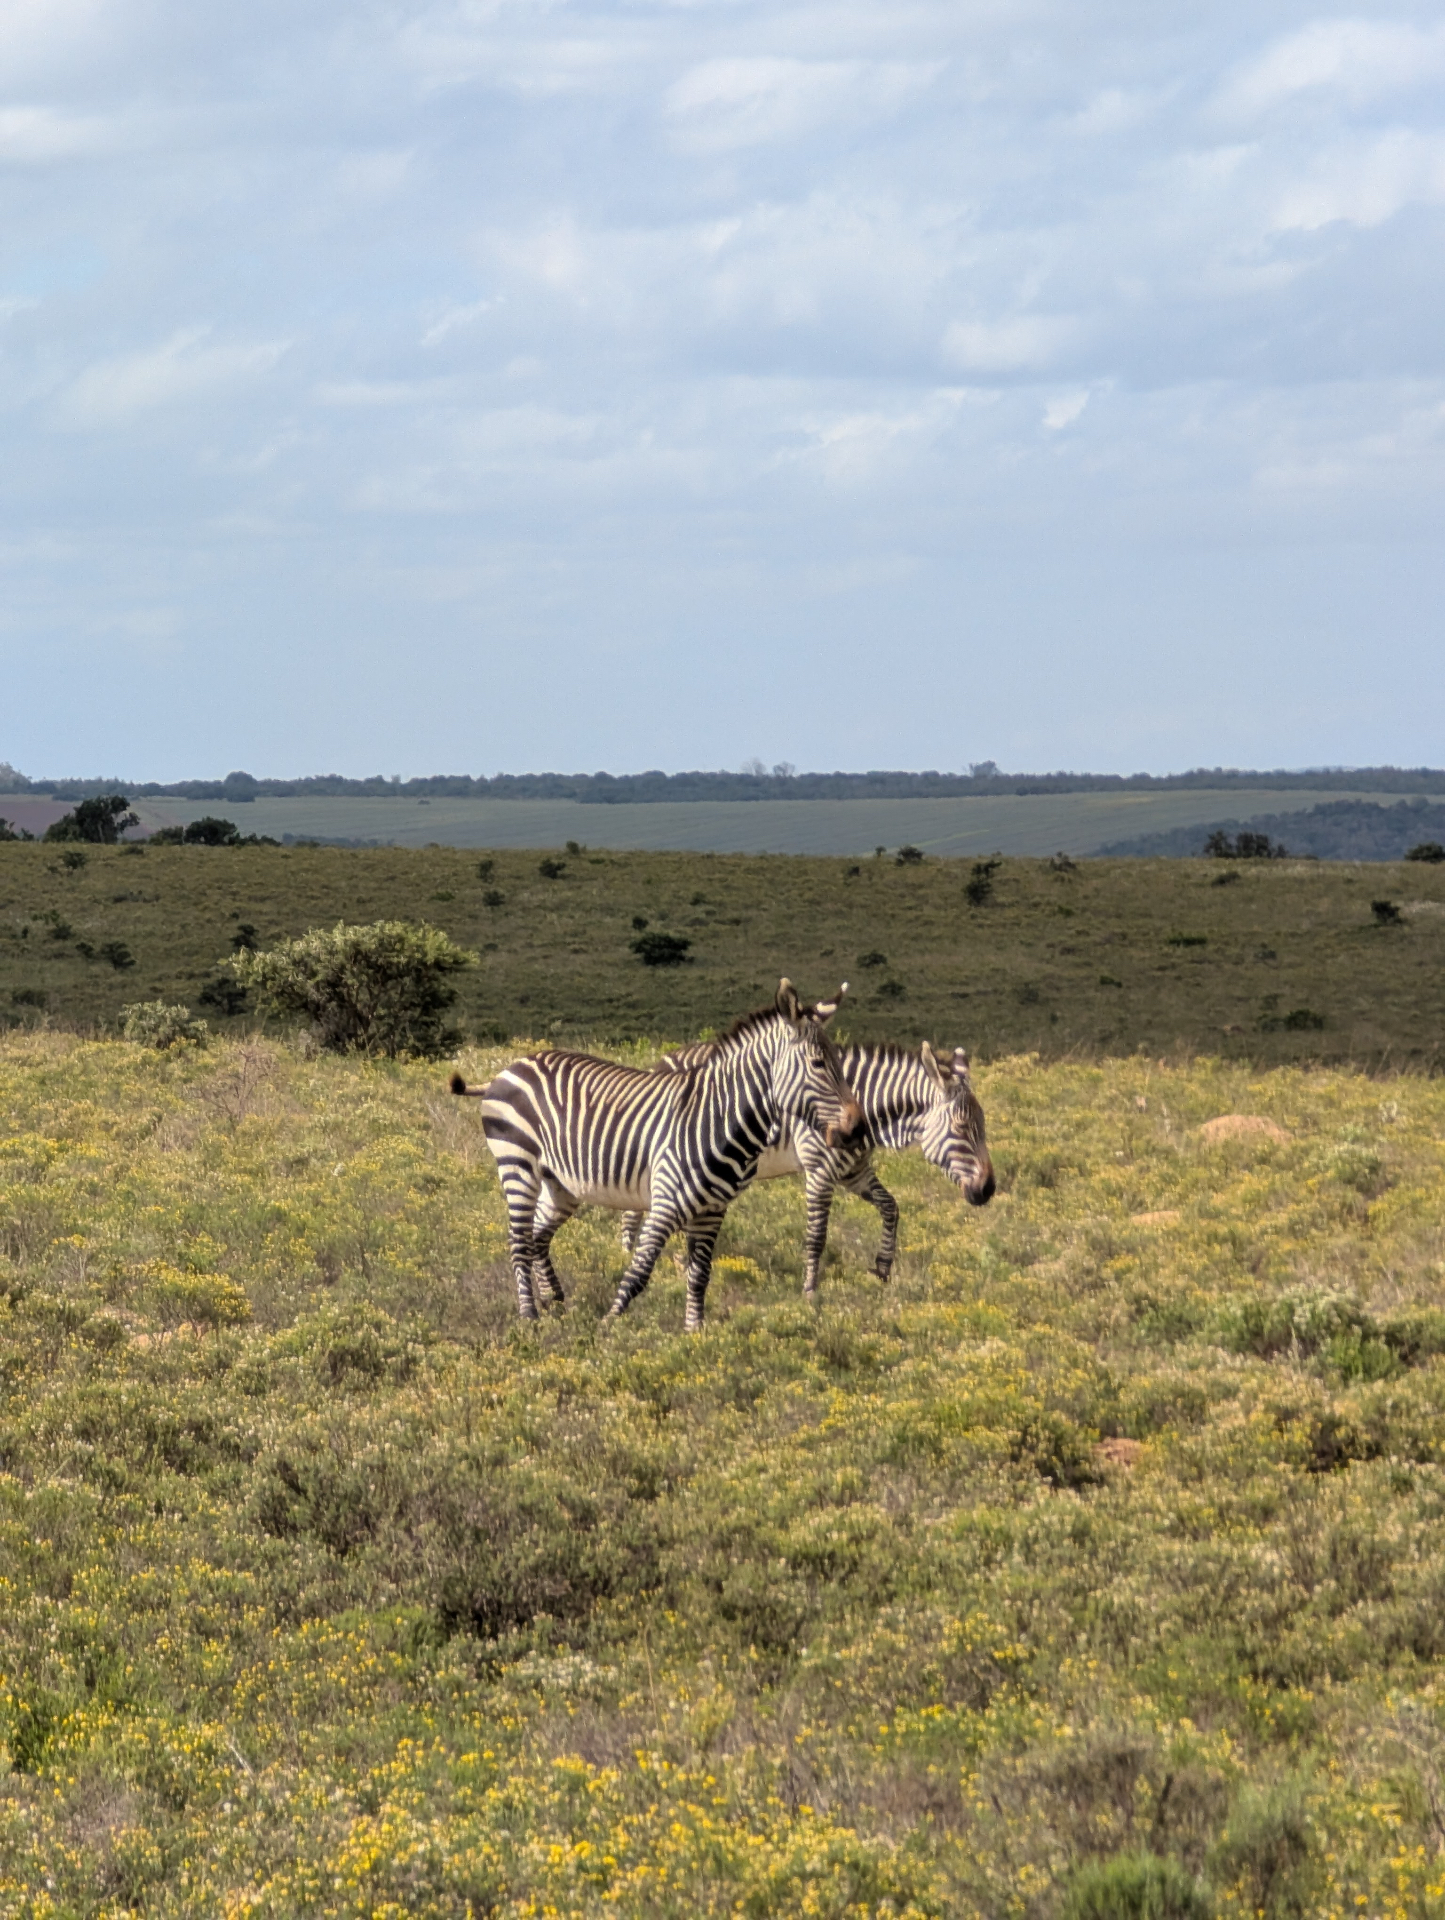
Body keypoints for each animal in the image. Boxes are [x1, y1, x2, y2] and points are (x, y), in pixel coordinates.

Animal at [450, 980, 863, 1330]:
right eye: (818, 1064)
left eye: (839, 1062)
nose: (857, 1129)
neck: (721, 1118)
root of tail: (508, 1068)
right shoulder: (666, 1201)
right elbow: (639, 1271)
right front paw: (608, 1328)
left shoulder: (714, 1209)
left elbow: (700, 1275)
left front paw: (695, 1334)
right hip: (517, 1163)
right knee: (519, 1241)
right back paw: (530, 1315)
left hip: (560, 1184)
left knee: (537, 1236)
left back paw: (556, 1302)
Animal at [611, 1040, 994, 1297]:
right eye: (962, 1127)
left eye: (983, 1124)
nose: (988, 1190)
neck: (866, 1111)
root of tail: (664, 1060)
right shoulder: (820, 1170)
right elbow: (816, 1235)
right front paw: (810, 1290)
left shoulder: (854, 1171)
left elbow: (891, 1207)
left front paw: (883, 1269)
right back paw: (625, 1254)